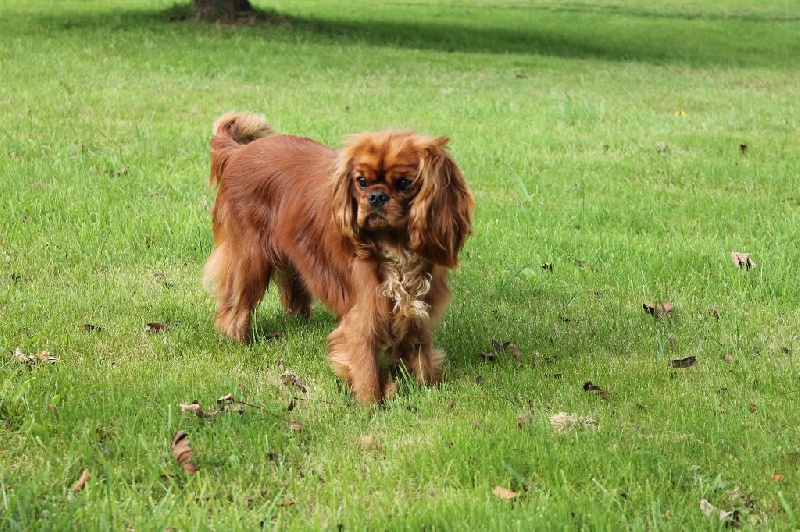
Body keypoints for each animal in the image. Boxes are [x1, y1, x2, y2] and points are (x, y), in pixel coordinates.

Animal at [203, 112, 476, 404]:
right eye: (362, 182)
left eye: (404, 183)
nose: (376, 197)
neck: (396, 247)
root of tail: (238, 152)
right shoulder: (364, 312)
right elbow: (365, 364)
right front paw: (371, 405)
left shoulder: (418, 310)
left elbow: (421, 354)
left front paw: (428, 390)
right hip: (250, 257)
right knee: (237, 302)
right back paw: (237, 339)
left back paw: (301, 321)